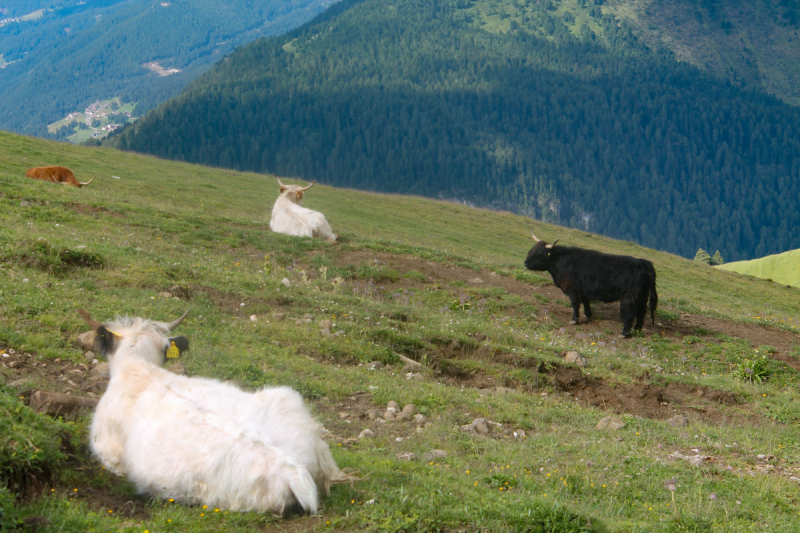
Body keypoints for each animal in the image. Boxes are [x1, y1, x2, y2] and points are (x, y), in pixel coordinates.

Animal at [524, 234, 656, 336]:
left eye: (540, 254)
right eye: (531, 250)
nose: (525, 263)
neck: (560, 262)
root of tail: (641, 262)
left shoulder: (573, 290)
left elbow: (575, 304)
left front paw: (574, 320)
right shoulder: (583, 290)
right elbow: (585, 302)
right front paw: (588, 314)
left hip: (629, 297)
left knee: (629, 313)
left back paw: (624, 333)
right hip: (642, 296)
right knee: (641, 312)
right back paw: (637, 329)